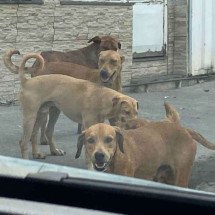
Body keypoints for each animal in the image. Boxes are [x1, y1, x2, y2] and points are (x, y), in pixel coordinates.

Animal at [74, 102, 215, 186]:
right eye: (90, 140)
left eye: (109, 139)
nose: (99, 155)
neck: (116, 158)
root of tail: (184, 129)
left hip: (181, 176)